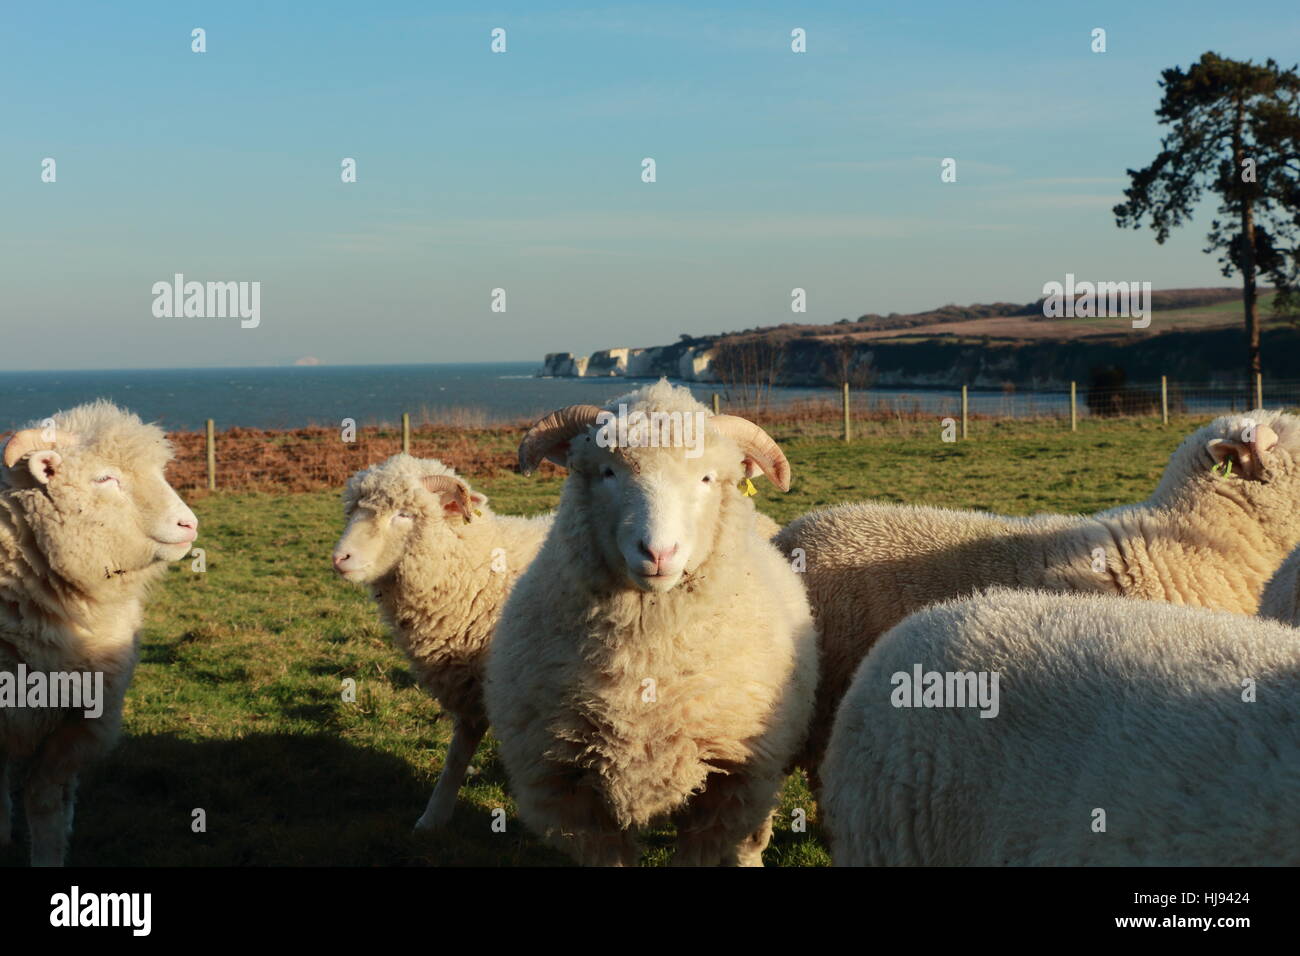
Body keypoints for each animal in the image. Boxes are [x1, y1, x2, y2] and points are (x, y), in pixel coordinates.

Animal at [333, 454, 552, 830]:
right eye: (354, 510)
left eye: (404, 514)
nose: (339, 558)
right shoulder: (472, 685)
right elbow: (458, 753)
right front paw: (433, 817)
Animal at [484, 380, 818, 866]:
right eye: (608, 472)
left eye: (706, 478)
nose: (658, 552)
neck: (645, 666)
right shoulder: (568, 789)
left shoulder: (727, 781)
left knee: (750, 840)